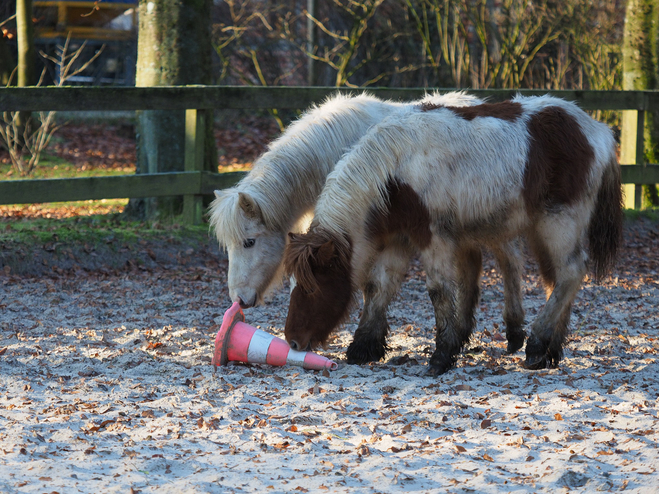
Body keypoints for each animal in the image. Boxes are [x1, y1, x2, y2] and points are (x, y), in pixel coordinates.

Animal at [284, 95, 624, 374]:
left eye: (312, 288)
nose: (292, 342)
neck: (396, 170)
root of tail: (598, 131)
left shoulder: (433, 236)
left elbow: (438, 290)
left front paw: (442, 355)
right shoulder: (399, 240)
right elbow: (378, 286)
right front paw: (364, 347)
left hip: (559, 222)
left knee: (571, 272)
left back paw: (537, 345)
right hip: (542, 230)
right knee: (557, 278)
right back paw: (551, 351)